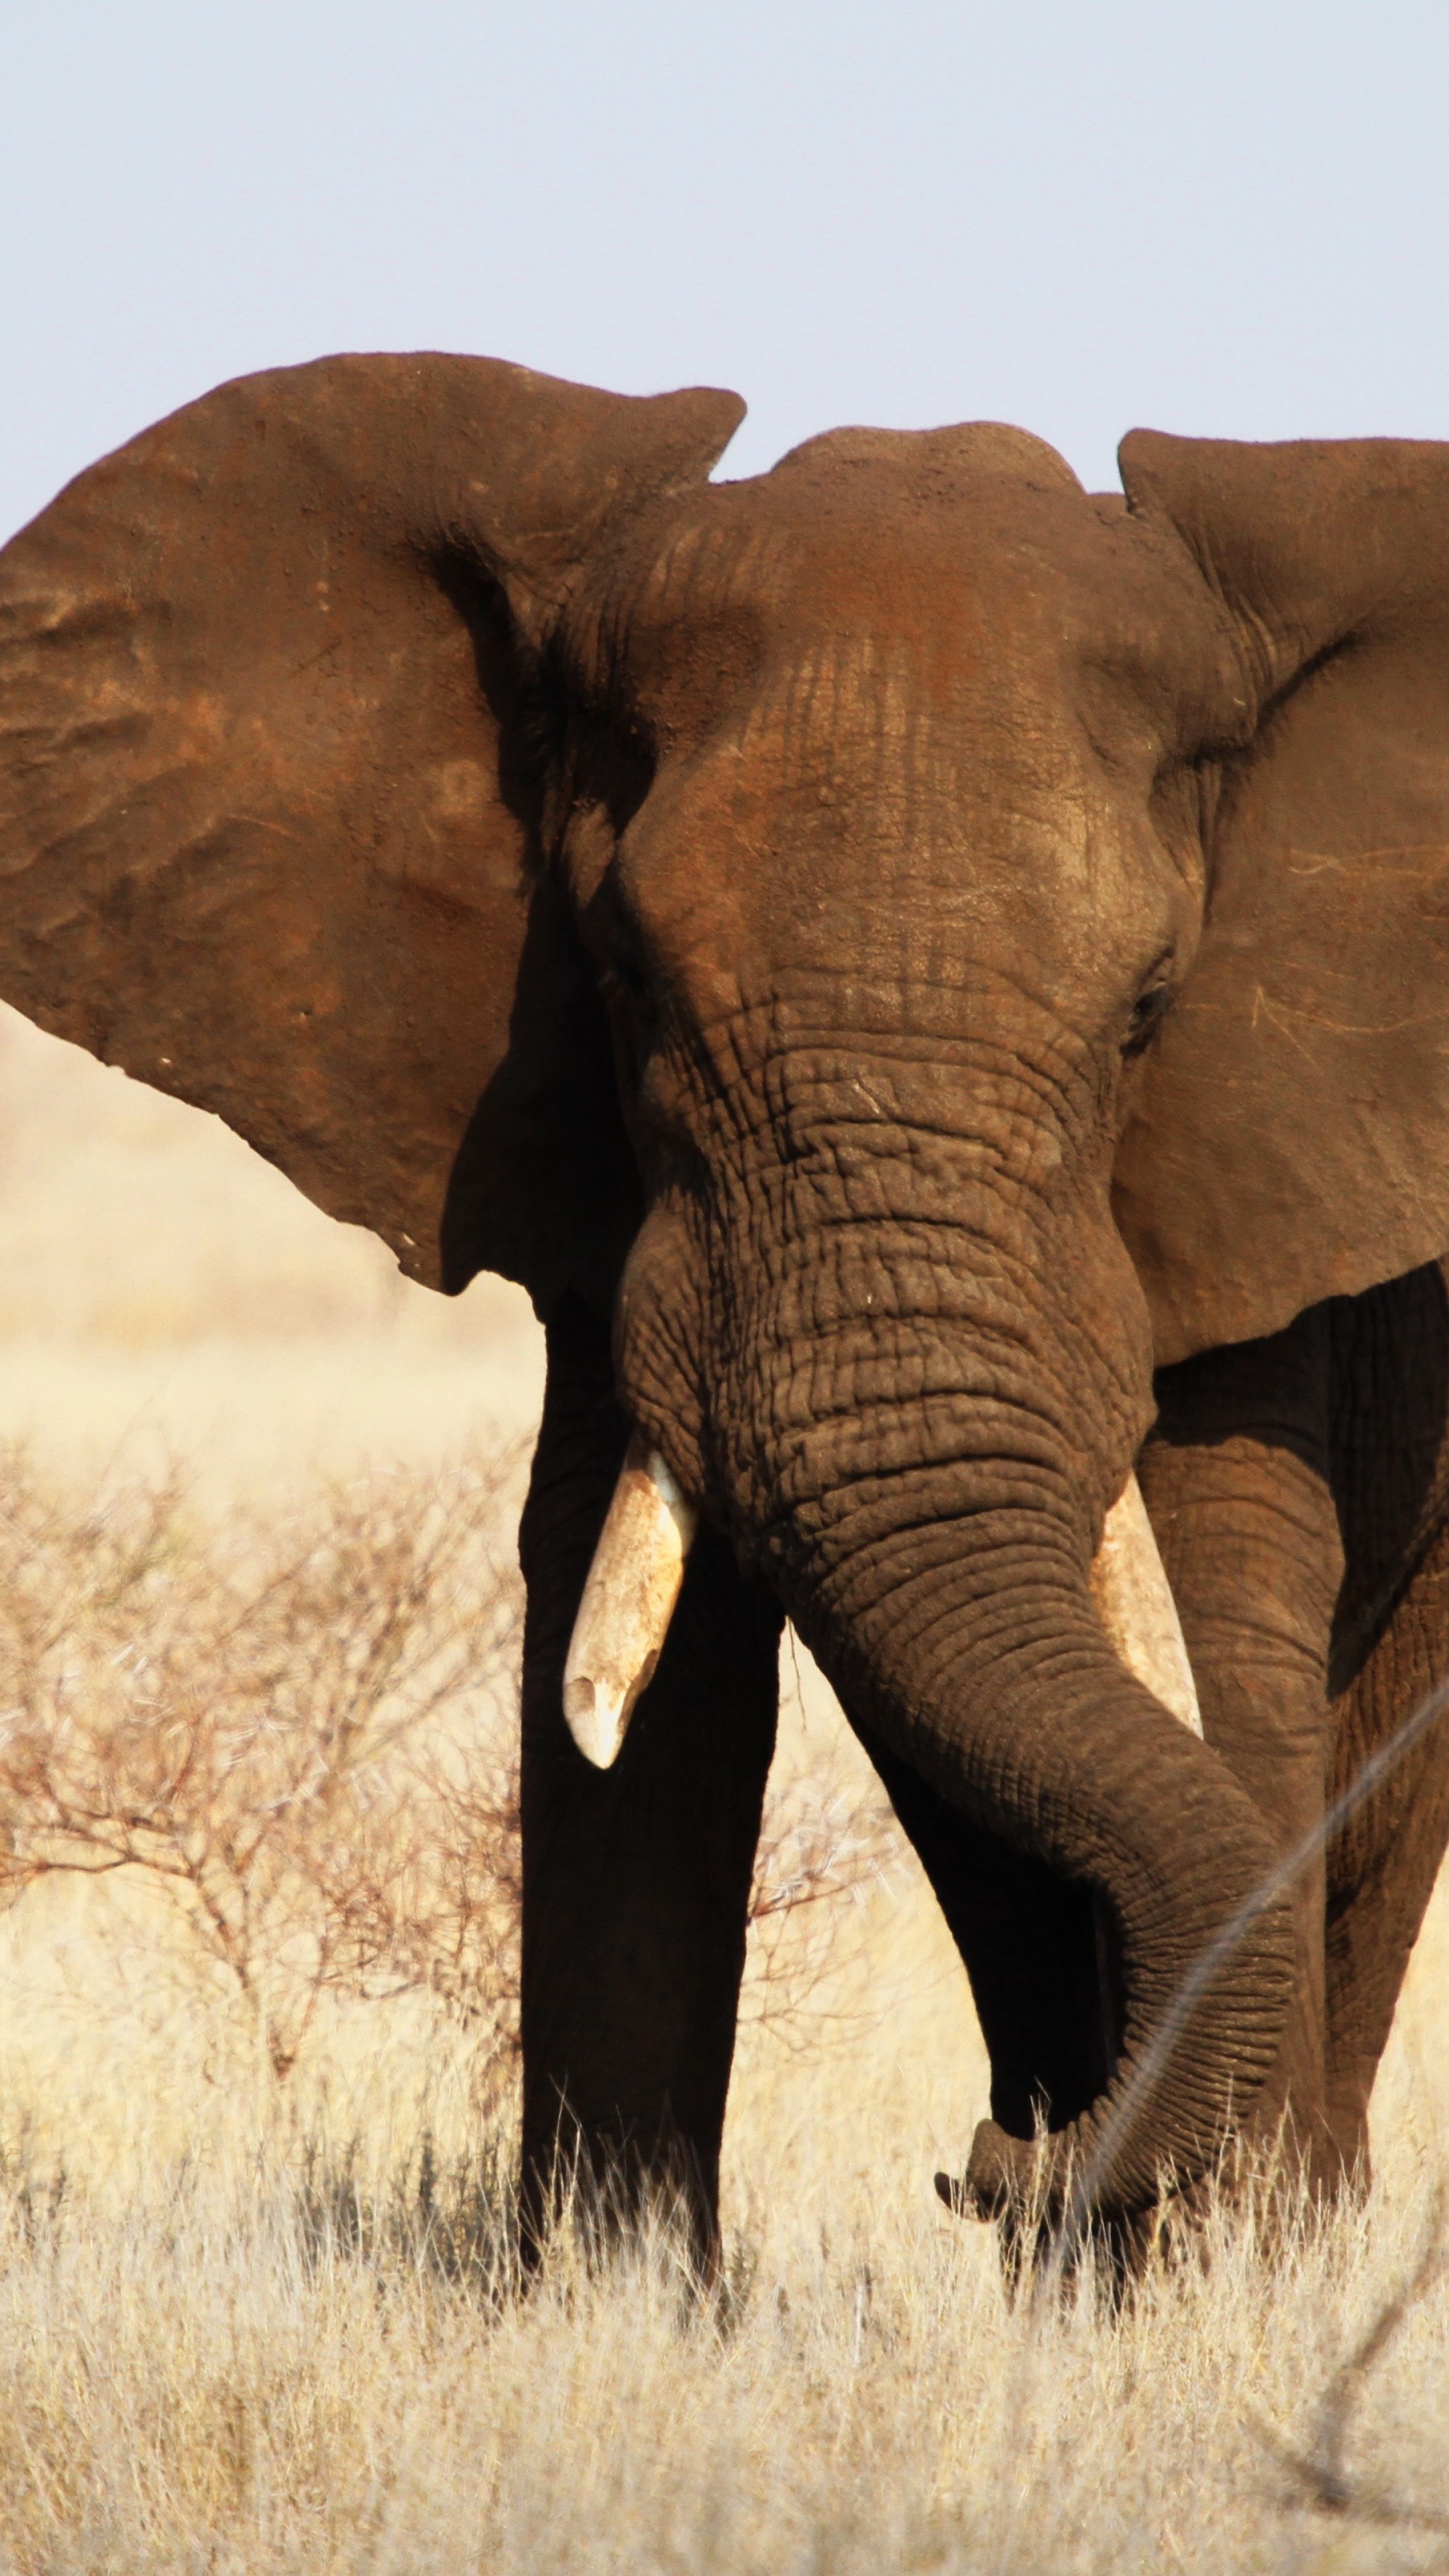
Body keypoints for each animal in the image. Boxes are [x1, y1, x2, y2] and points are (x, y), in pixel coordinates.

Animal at [3, 353, 1444, 2267]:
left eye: (1148, 1009)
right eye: (622, 979)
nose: (982, 2159)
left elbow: (1215, 1610)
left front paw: (1212, 2279)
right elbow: (622, 1647)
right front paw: (612, 2292)